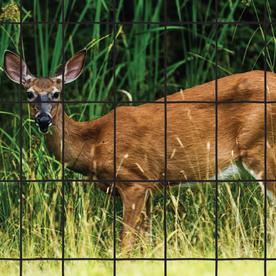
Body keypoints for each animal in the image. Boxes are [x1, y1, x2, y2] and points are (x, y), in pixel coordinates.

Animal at [3, 48, 276, 251]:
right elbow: (147, 241)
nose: (43, 120)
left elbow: (126, 242)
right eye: (29, 94)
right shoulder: (149, 188)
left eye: (56, 93)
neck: (93, 144)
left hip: (263, 149)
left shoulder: (134, 179)